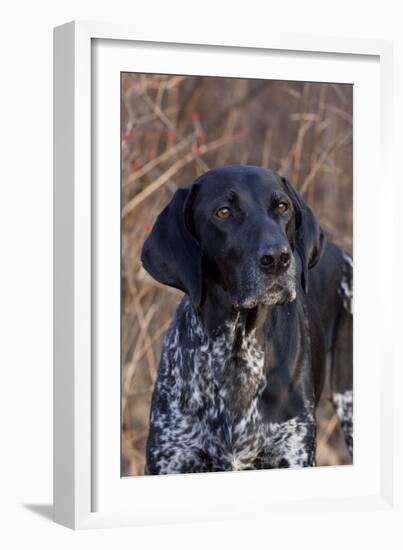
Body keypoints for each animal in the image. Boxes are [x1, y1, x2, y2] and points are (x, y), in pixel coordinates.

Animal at [141, 166, 354, 476]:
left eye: (282, 207)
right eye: (223, 212)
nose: (278, 258)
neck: (236, 352)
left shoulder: (293, 452)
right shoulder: (170, 459)